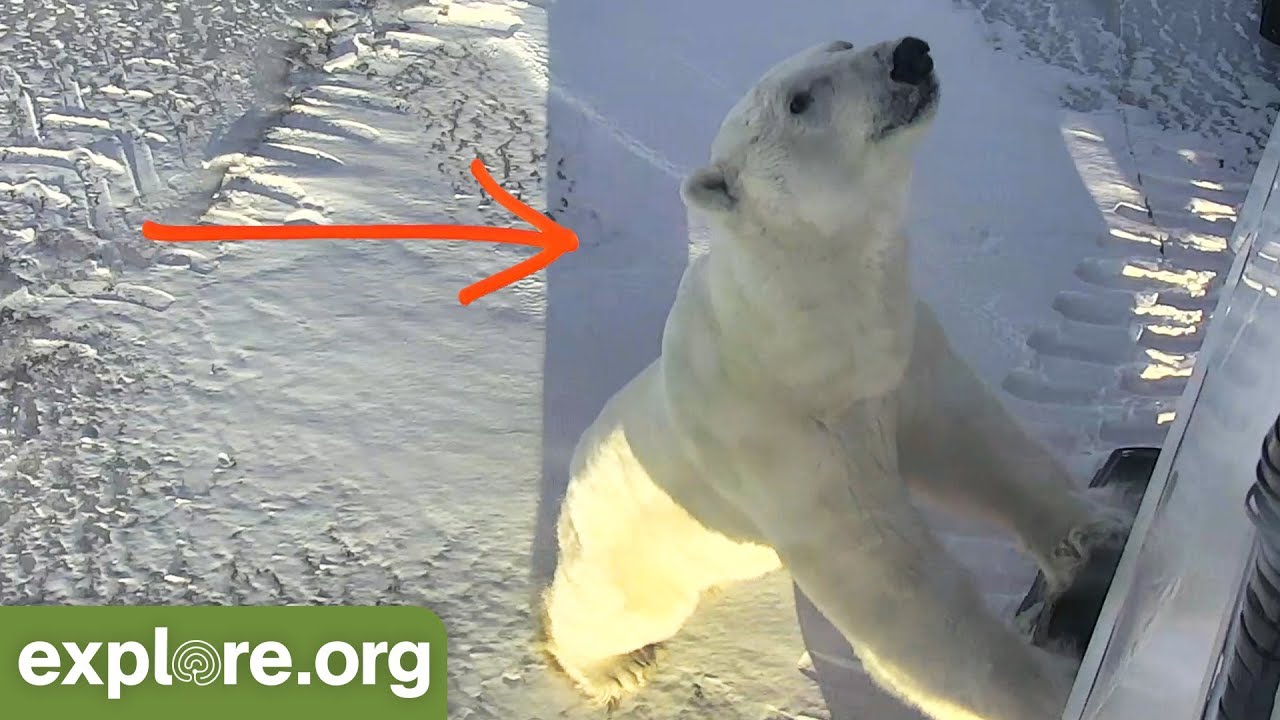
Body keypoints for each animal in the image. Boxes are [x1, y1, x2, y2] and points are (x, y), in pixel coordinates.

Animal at [538, 36, 1129, 720]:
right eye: (800, 100)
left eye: (840, 43)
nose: (910, 53)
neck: (806, 333)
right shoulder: (780, 434)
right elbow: (884, 577)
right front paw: (1043, 692)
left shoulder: (898, 356)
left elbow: (973, 445)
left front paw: (1098, 536)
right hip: (635, 542)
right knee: (616, 609)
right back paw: (614, 668)